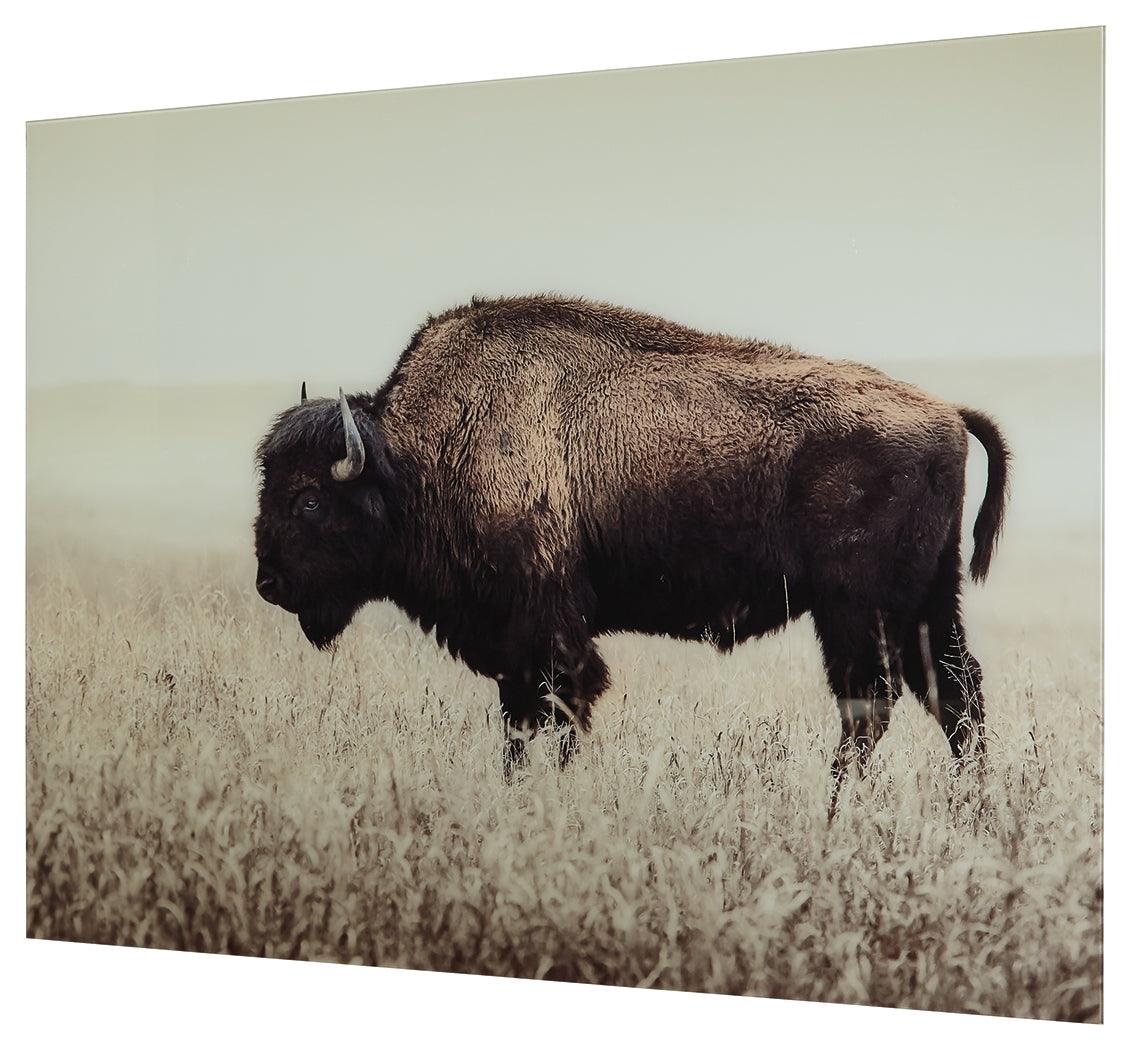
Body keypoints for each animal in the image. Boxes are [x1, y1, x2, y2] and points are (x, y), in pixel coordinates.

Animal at [254, 295, 1009, 783]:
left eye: (310, 499)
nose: (269, 584)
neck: (413, 460)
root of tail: (946, 410)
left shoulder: (546, 632)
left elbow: (556, 711)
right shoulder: (515, 646)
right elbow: (520, 721)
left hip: (857, 610)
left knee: (870, 704)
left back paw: (835, 806)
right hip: (927, 602)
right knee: (953, 693)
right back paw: (967, 809)